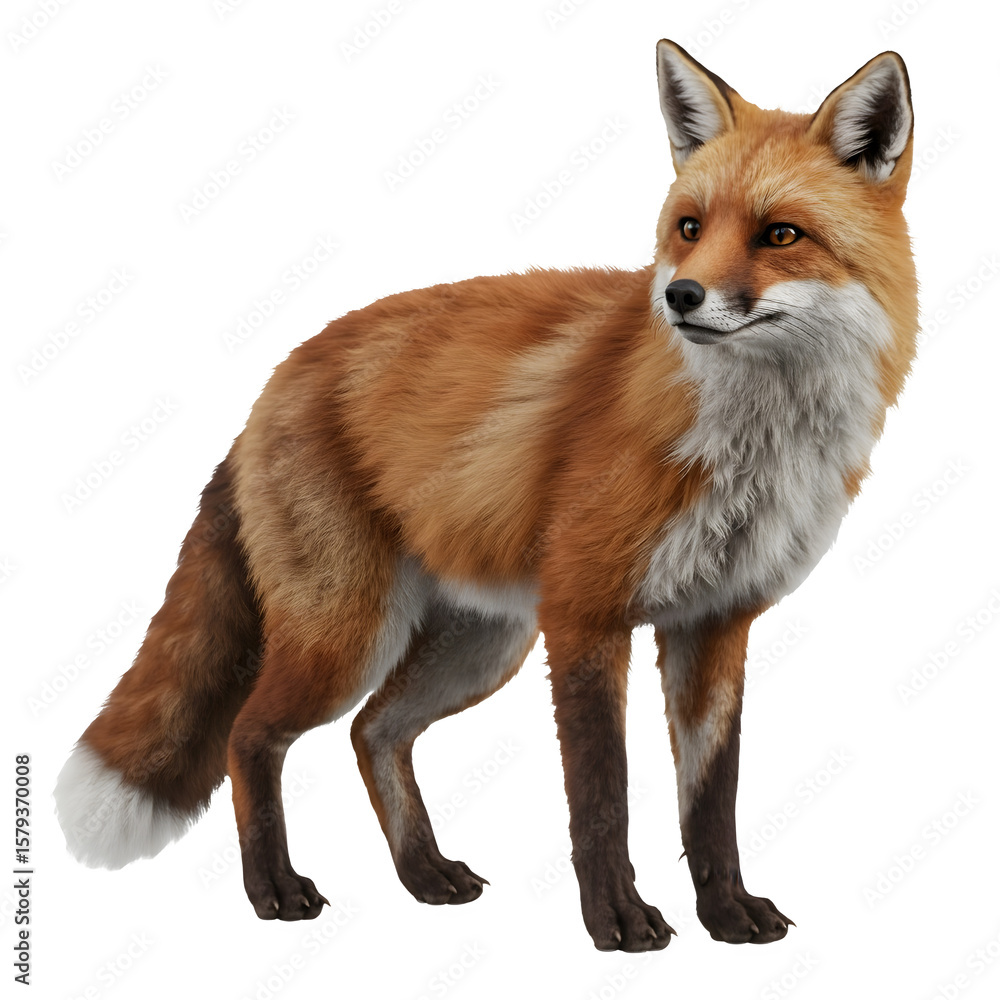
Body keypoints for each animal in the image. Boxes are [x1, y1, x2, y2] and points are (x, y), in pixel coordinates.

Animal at [55, 40, 917, 952]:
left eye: (780, 234)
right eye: (690, 228)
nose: (679, 295)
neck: (750, 440)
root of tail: (275, 381)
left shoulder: (715, 625)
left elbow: (711, 804)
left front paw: (726, 915)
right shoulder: (583, 617)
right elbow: (601, 799)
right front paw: (617, 921)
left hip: (480, 642)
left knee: (373, 732)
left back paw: (421, 873)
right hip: (350, 635)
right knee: (248, 736)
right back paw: (274, 889)